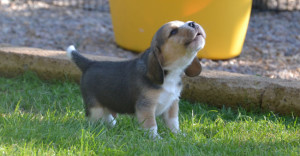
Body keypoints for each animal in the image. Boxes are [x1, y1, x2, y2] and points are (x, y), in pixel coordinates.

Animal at [66, 20, 205, 138]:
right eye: (173, 32)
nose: (192, 23)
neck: (170, 74)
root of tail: (90, 63)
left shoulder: (172, 104)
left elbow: (173, 123)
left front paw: (179, 135)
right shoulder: (145, 107)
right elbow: (151, 125)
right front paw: (156, 139)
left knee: (107, 116)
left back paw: (113, 125)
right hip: (95, 107)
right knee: (94, 119)